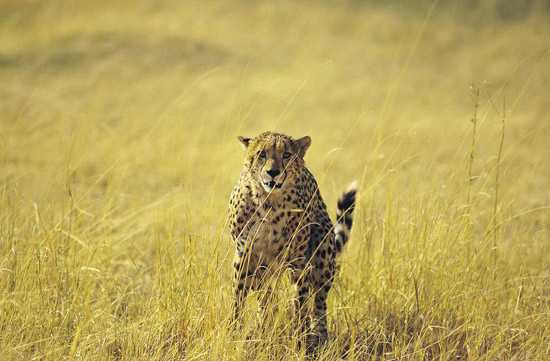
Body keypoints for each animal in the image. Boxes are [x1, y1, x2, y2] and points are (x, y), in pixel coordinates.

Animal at [227, 131, 358, 350]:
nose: (273, 172)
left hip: (322, 252)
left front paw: (300, 339)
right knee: (266, 298)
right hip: (264, 270)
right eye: (262, 154)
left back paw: (319, 337)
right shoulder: (244, 254)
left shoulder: (297, 260)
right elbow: (239, 298)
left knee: (319, 303)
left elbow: (300, 301)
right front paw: (233, 331)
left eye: (286, 155)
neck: (269, 201)